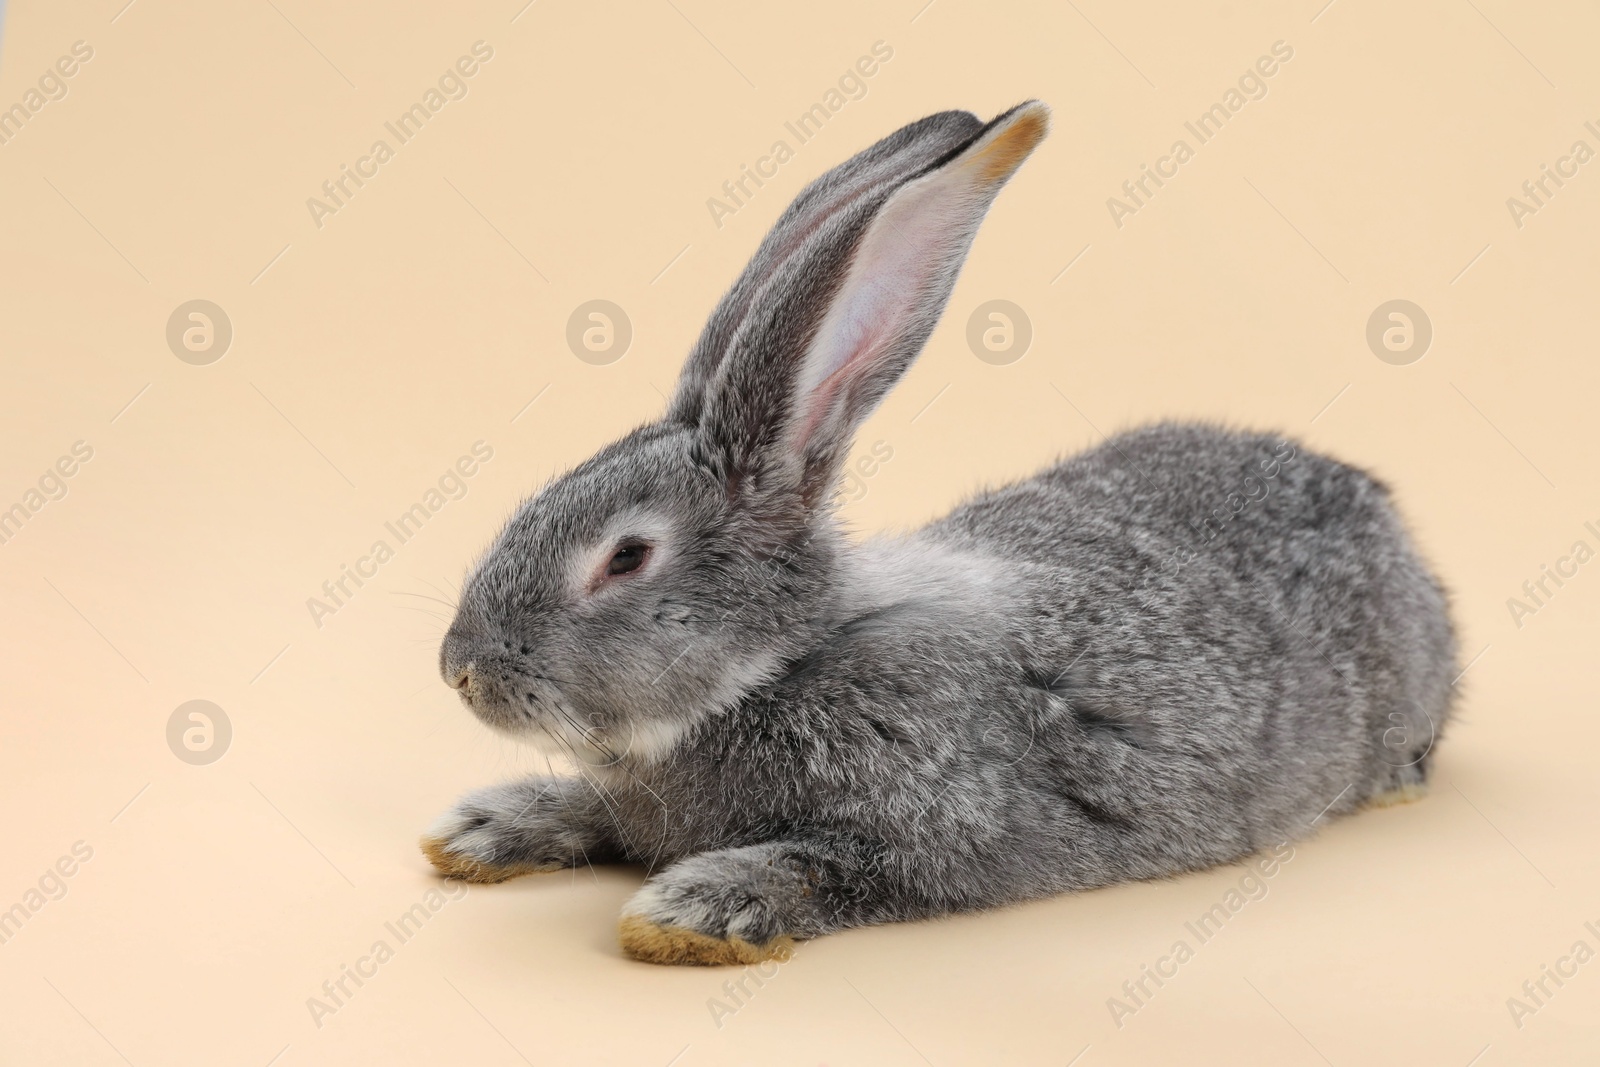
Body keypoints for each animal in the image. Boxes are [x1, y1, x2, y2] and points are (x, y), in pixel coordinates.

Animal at [425, 102, 1465, 966]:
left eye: (627, 556)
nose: (459, 668)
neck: (782, 662)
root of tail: (1377, 506)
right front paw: (483, 828)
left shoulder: (939, 834)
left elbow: (830, 866)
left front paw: (693, 909)